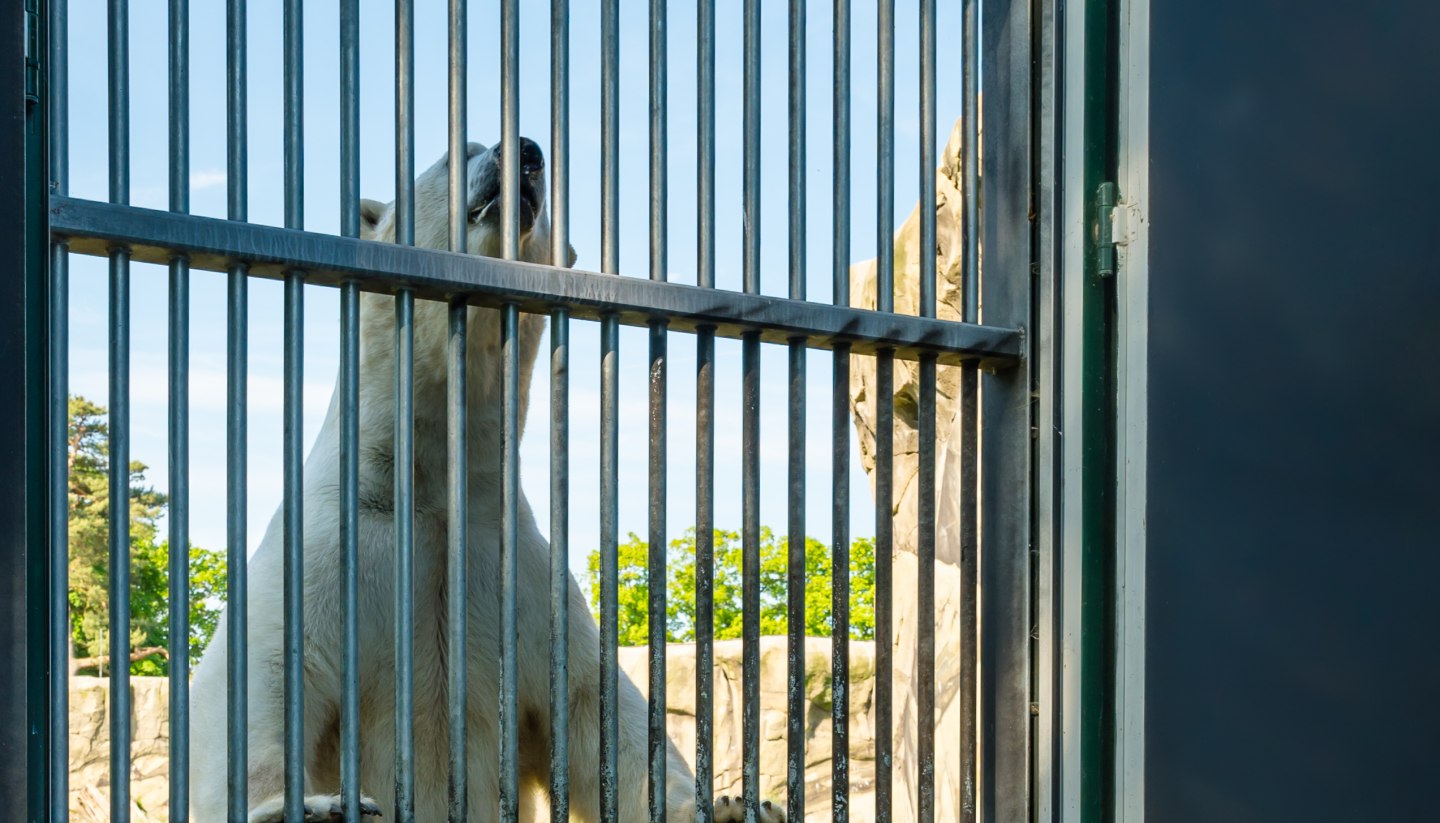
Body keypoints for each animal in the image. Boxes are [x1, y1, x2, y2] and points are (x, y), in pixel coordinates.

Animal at [188, 141, 789, 823]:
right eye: (458, 153)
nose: (524, 152)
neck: (427, 487)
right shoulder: (326, 554)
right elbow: (258, 682)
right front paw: (315, 807)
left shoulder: (518, 578)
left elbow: (599, 715)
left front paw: (735, 805)